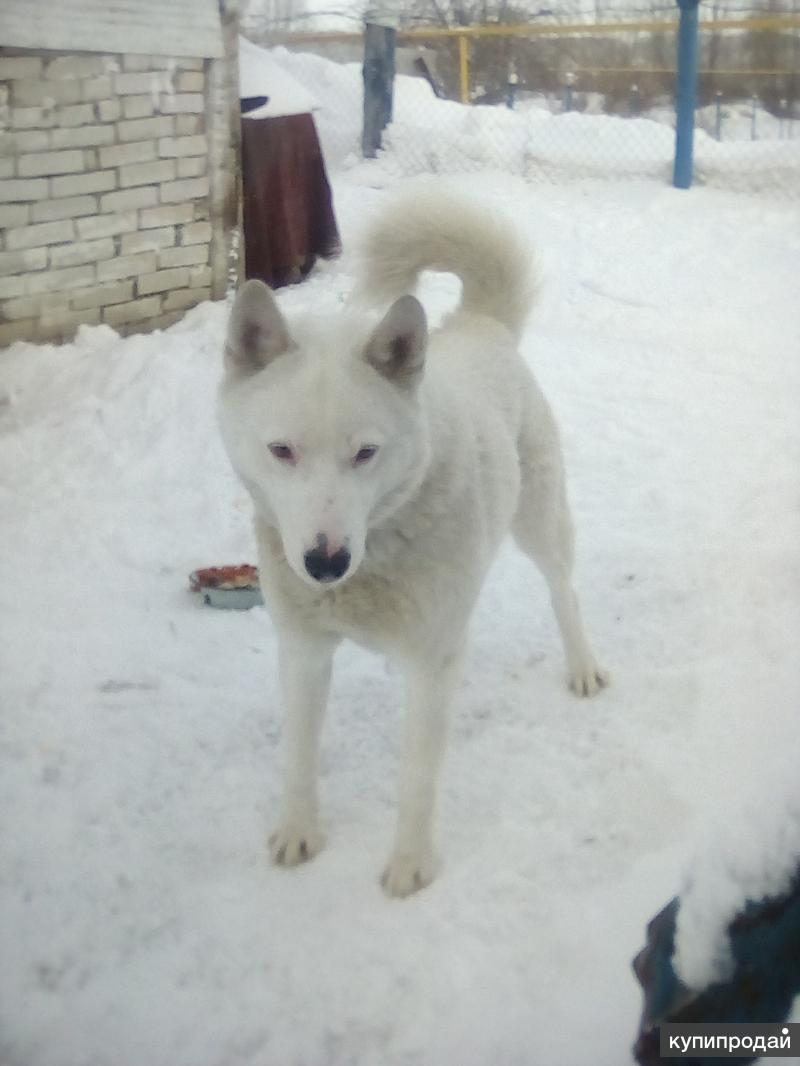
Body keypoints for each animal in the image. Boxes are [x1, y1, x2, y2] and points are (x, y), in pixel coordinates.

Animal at [219, 187, 605, 895]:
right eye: (281, 451)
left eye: (365, 453)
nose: (324, 563)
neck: (373, 554)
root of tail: (480, 325)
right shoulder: (304, 651)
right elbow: (299, 755)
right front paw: (298, 832)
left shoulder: (429, 664)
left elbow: (418, 777)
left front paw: (409, 865)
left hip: (538, 523)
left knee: (563, 590)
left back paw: (583, 665)